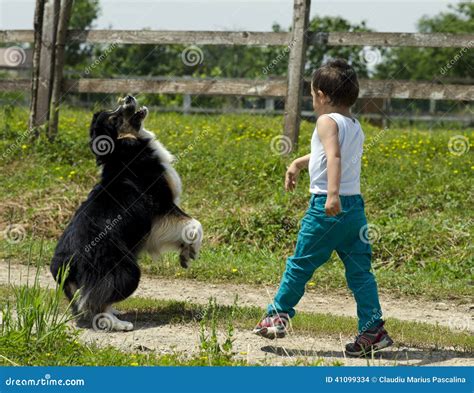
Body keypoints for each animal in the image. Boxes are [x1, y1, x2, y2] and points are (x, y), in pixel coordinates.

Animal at [50, 95, 202, 330]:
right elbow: (194, 224)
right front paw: (190, 252)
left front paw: (186, 254)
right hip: (126, 271)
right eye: (114, 117)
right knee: (96, 302)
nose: (128, 98)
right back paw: (118, 323)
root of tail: (64, 263)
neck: (123, 151)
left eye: (116, 107)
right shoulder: (162, 208)